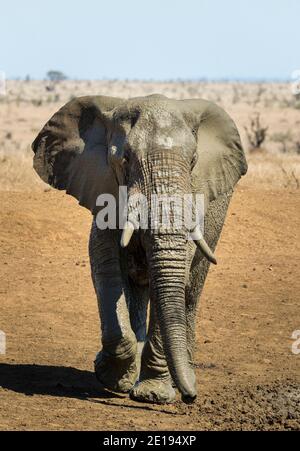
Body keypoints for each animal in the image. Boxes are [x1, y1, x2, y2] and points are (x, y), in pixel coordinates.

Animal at [31, 93, 247, 404]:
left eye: (193, 161)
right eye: (124, 159)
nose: (190, 398)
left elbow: (172, 278)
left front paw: (153, 394)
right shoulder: (102, 186)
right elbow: (106, 266)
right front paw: (114, 378)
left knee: (190, 293)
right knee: (136, 290)